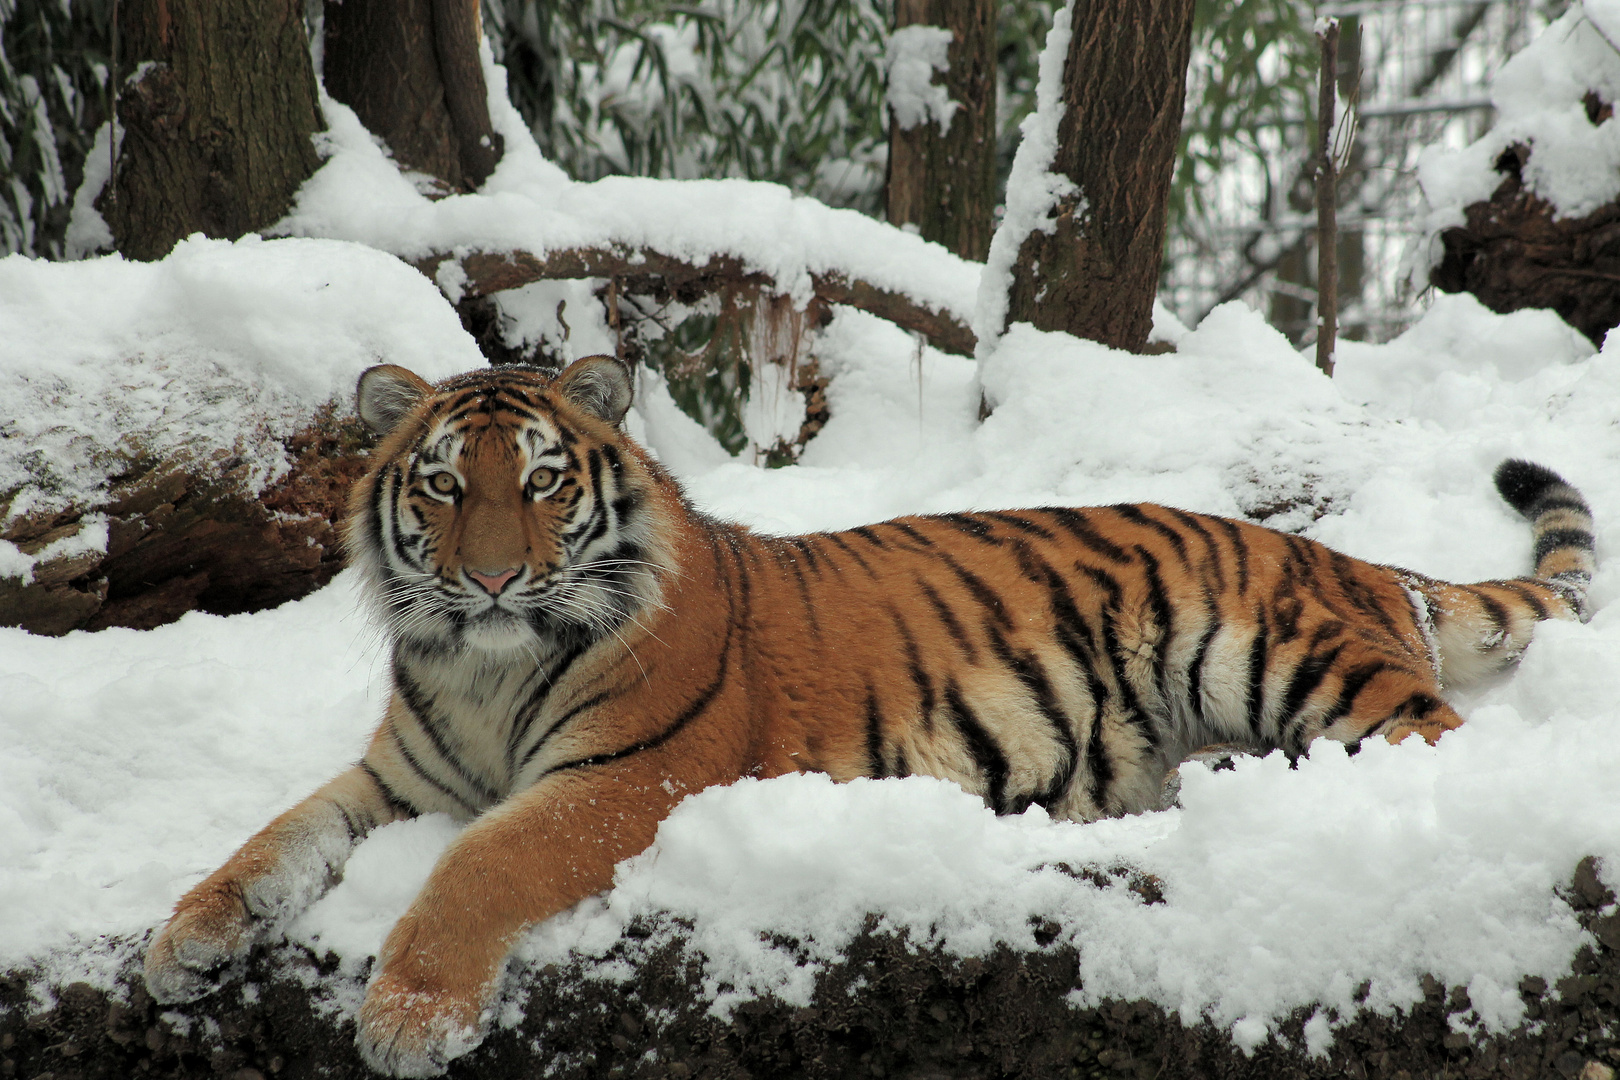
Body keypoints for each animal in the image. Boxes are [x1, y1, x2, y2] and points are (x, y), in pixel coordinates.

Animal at [142, 354, 1594, 1075]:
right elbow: (272, 839)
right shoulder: (395, 779)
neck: (483, 667)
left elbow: (483, 863)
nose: (494, 576)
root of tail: (1349, 559)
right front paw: (182, 941)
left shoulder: (628, 778)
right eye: (444, 486)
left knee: (1438, 747)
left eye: (544, 483)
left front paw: (406, 1018)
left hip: (1286, 658)